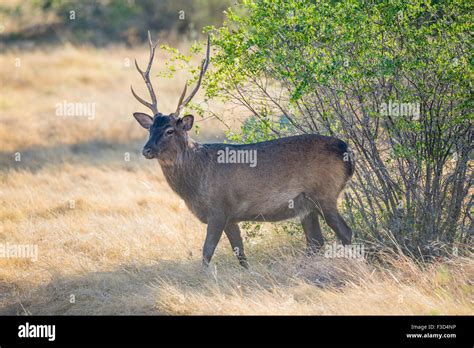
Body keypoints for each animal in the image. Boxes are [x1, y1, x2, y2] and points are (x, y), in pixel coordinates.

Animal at [131, 32, 354, 270]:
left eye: (170, 130)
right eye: (150, 129)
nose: (147, 150)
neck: (197, 183)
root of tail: (347, 152)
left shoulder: (219, 209)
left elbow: (207, 253)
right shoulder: (231, 218)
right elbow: (241, 254)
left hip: (324, 193)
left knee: (345, 233)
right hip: (306, 205)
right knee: (316, 242)